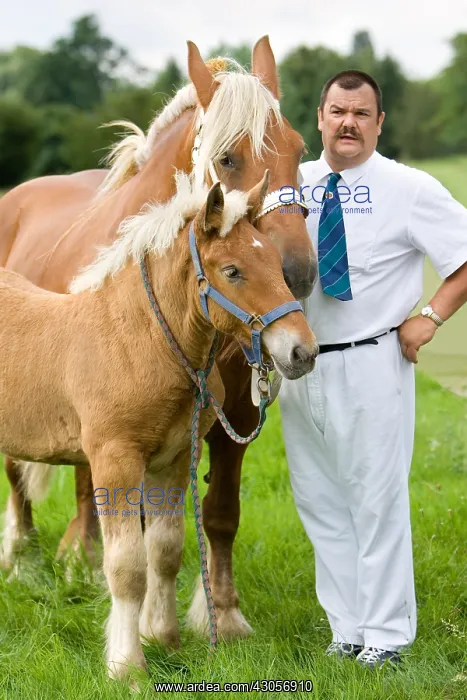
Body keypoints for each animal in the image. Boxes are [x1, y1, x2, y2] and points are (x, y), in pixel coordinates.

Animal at [0, 37, 317, 639]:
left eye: (300, 148)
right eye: (227, 158)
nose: (299, 274)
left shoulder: (232, 421)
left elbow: (218, 516)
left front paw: (221, 613)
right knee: (26, 476)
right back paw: (30, 559)